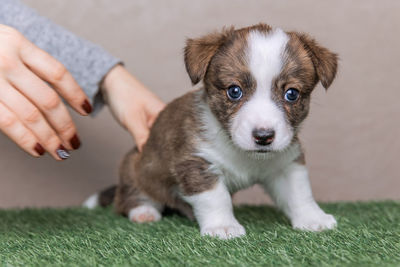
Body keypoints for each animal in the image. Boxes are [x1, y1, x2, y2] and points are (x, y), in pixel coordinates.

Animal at [83, 23, 338, 241]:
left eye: (291, 94)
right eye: (234, 91)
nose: (264, 137)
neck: (242, 152)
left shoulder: (286, 162)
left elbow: (300, 192)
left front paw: (312, 218)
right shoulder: (197, 163)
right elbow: (216, 197)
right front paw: (222, 226)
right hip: (136, 168)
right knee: (130, 198)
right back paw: (143, 211)